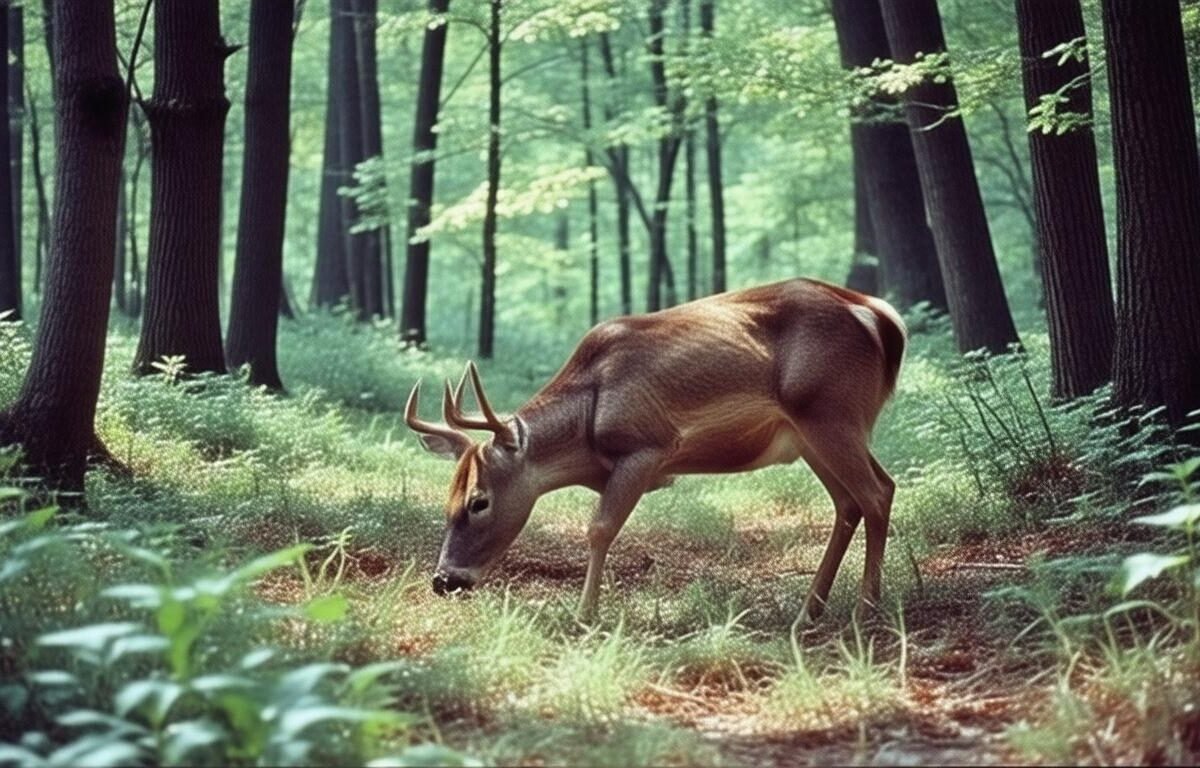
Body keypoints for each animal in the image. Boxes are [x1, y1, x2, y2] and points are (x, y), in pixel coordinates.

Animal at [405, 278, 906, 622]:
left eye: (479, 501)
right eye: (447, 499)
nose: (444, 580)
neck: (588, 421)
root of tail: (883, 318)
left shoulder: (646, 447)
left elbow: (600, 529)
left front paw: (584, 615)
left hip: (829, 411)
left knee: (877, 493)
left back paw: (865, 610)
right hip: (813, 433)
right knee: (852, 500)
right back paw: (809, 611)